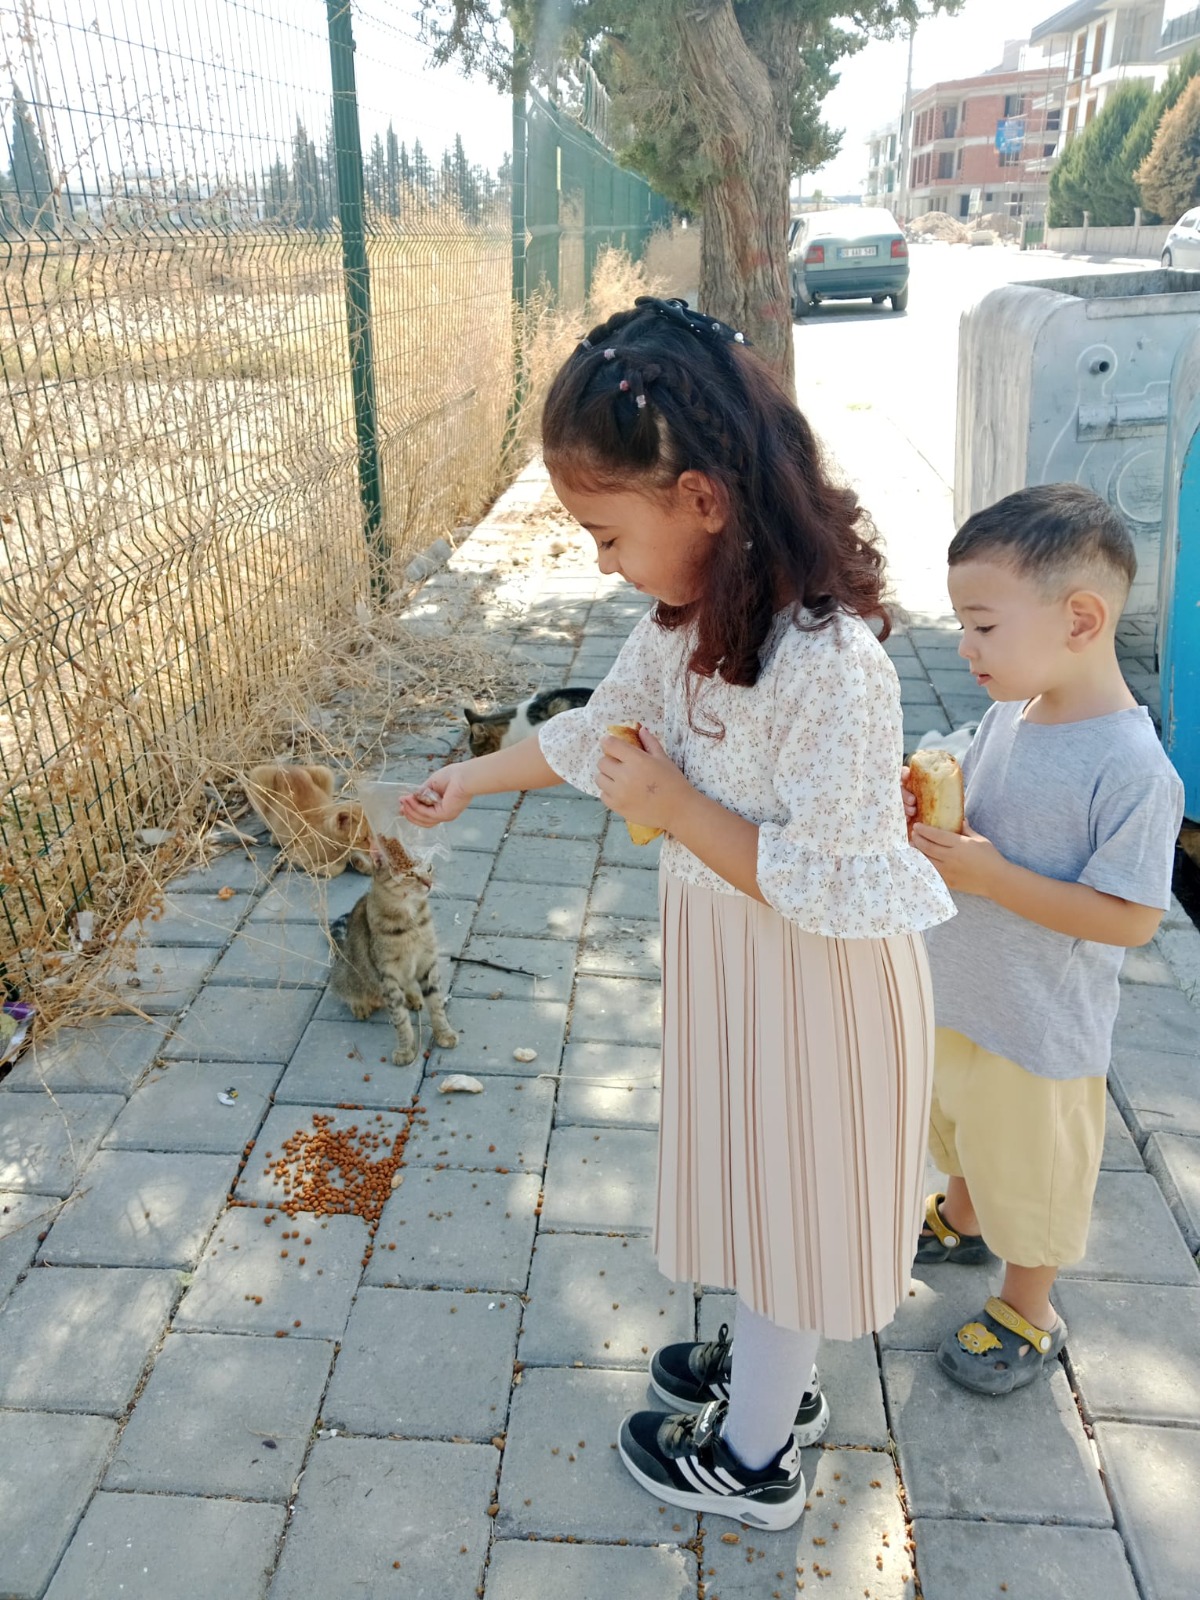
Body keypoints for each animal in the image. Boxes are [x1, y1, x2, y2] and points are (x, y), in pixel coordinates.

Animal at [331, 838, 457, 1062]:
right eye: (410, 873)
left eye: (429, 867)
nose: (429, 883)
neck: (410, 921)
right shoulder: (386, 975)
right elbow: (400, 1018)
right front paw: (406, 1049)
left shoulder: (427, 962)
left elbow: (436, 1004)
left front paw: (444, 1033)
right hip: (347, 974)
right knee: (341, 988)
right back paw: (360, 1004)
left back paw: (413, 997)